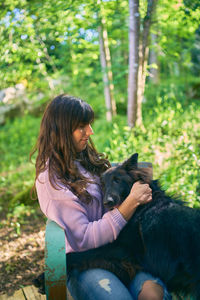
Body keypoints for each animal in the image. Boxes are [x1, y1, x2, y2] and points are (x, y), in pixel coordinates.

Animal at [67, 154, 200, 298]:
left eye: (117, 180)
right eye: (102, 185)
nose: (107, 202)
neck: (142, 206)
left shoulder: (123, 250)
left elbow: (86, 253)